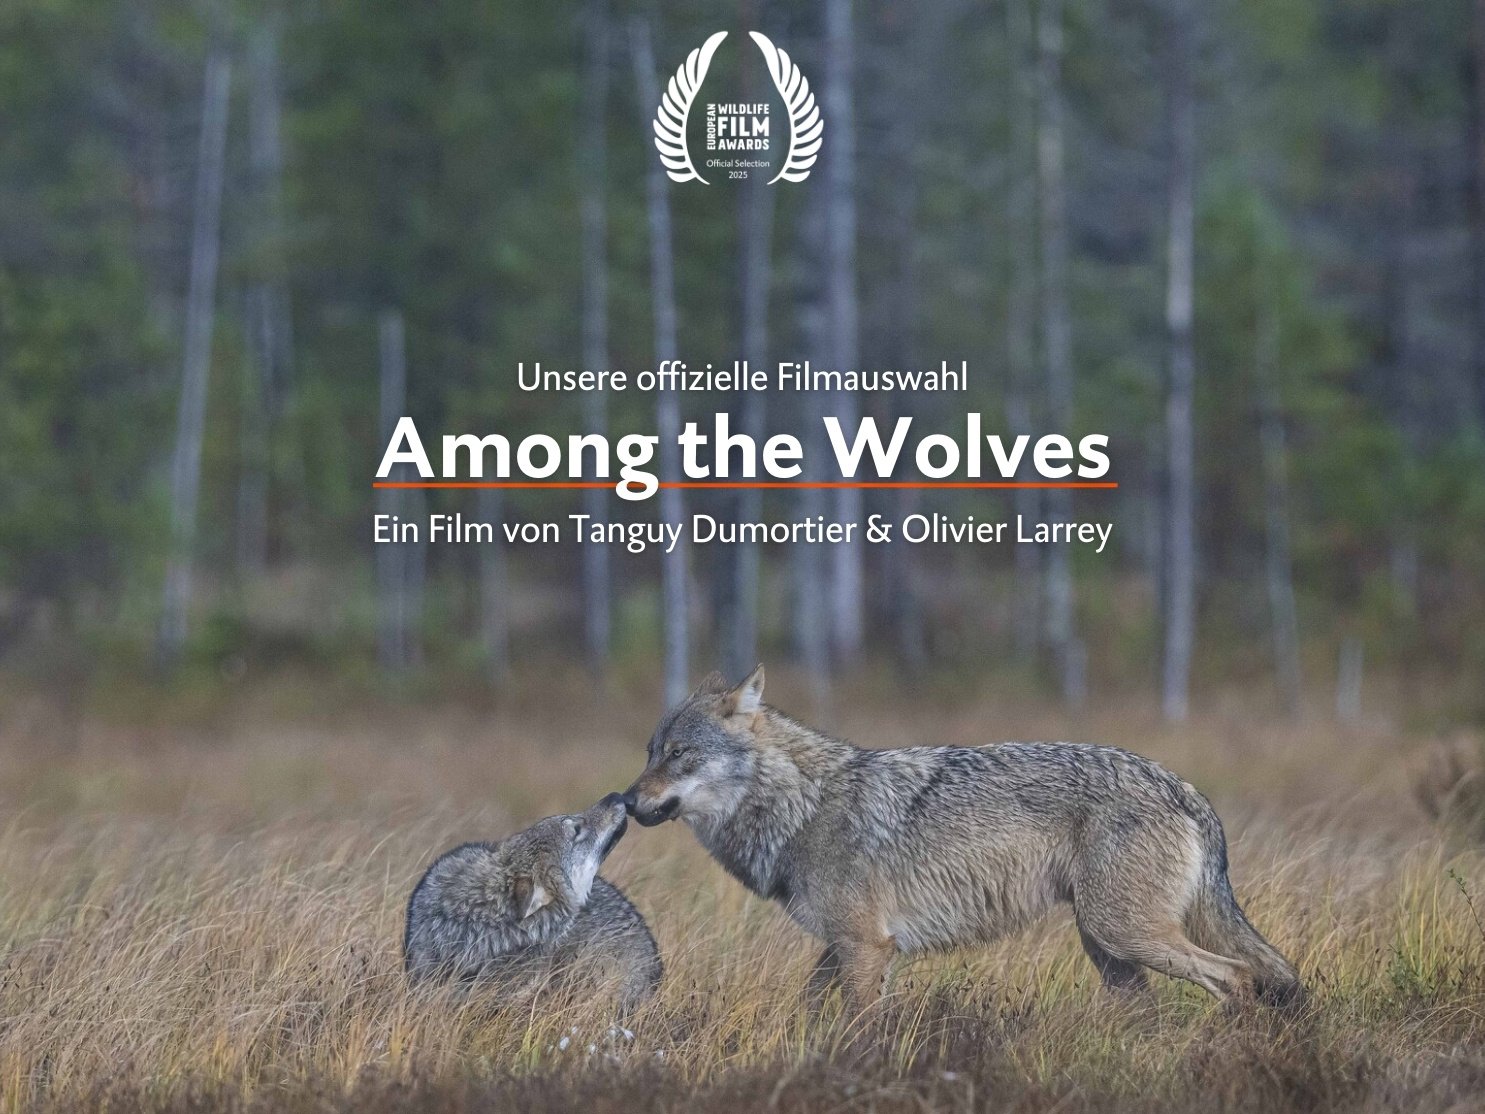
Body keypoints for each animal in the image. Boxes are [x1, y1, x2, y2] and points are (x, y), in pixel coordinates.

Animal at [623, 667, 1303, 1011]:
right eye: (650, 752)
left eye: (679, 754)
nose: (626, 803)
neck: (801, 808)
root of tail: (1183, 787)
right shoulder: (844, 947)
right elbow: (810, 1009)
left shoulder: (866, 948)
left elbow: (862, 1029)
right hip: (1110, 949)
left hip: (1125, 934)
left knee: (1237, 976)